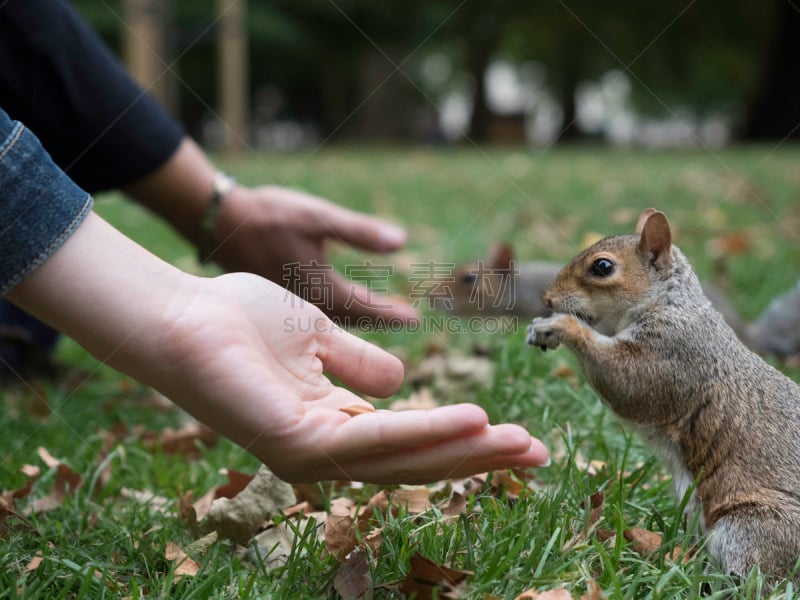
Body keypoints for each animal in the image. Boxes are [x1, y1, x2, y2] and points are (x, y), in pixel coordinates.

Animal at [524, 209, 800, 584]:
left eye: (602, 266)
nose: (548, 299)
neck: (670, 303)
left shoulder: (673, 355)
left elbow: (627, 384)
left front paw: (560, 325)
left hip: (753, 529)